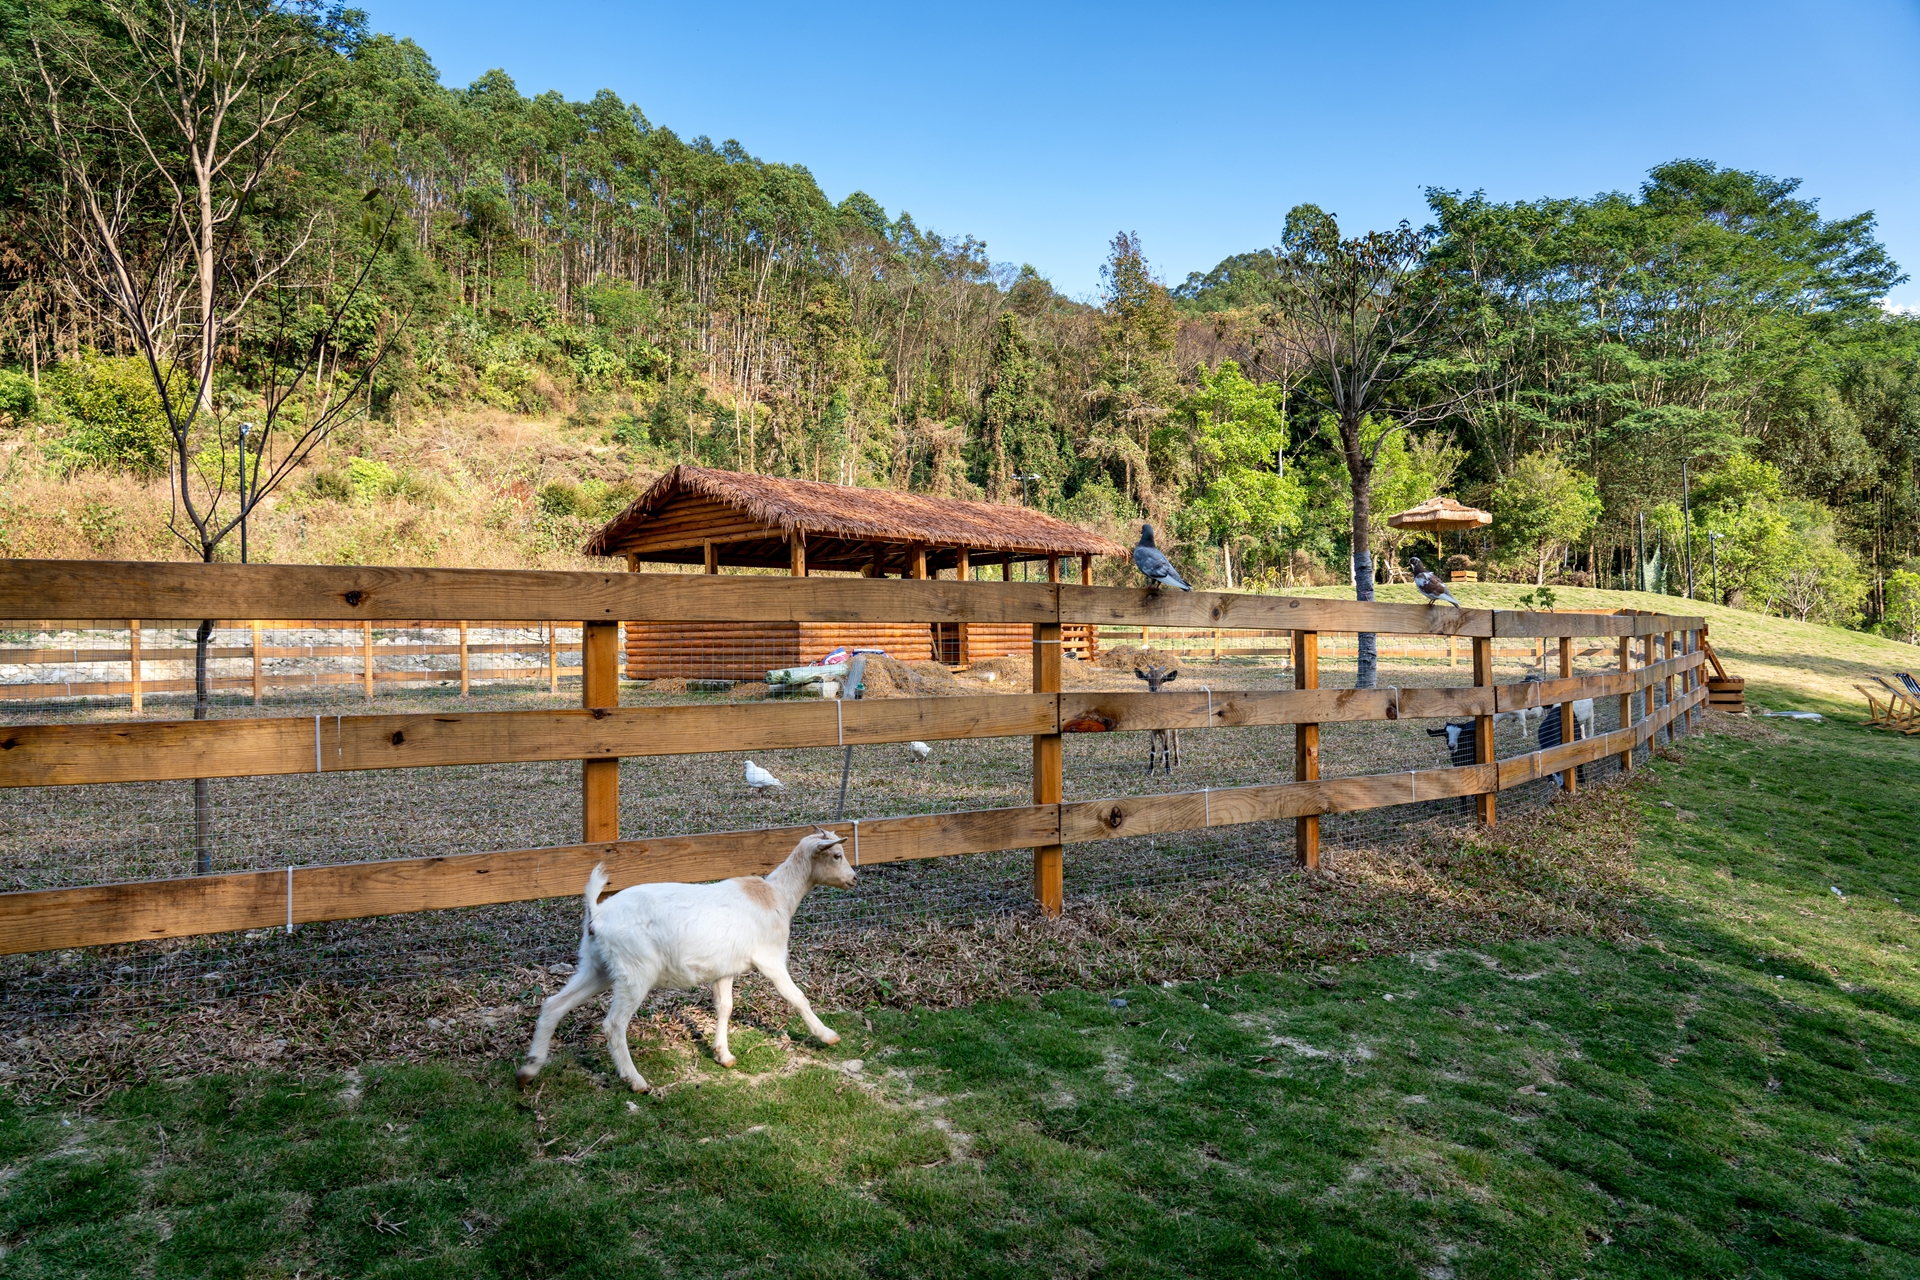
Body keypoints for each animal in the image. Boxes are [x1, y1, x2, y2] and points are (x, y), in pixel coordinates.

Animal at [522, 832, 860, 1090]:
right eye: (837, 855)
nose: (854, 879)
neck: (776, 896)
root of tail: (597, 912)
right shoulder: (770, 958)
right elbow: (797, 997)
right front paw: (827, 1035)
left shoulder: (724, 968)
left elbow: (724, 1007)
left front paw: (723, 1054)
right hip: (635, 971)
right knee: (613, 1024)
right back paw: (636, 1081)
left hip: (597, 965)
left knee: (554, 1004)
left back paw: (529, 1069)